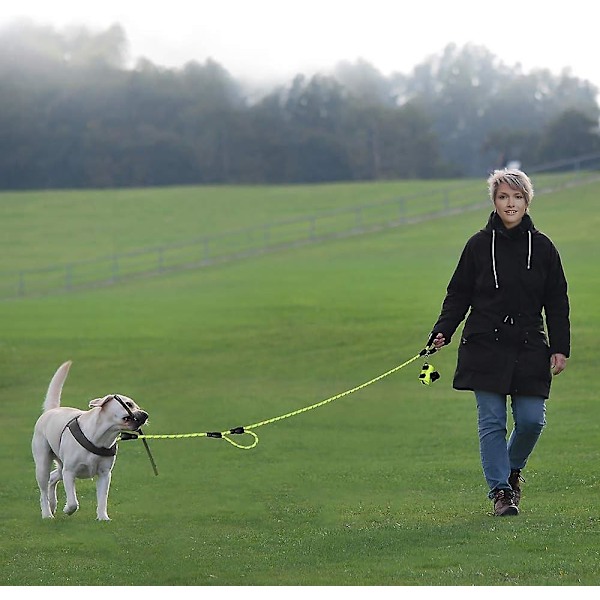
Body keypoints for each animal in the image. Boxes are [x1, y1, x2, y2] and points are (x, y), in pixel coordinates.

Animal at [31, 360, 149, 520]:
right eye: (129, 404)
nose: (146, 415)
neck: (101, 437)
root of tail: (51, 410)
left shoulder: (105, 474)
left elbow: (102, 499)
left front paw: (103, 518)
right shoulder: (69, 472)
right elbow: (73, 502)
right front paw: (67, 509)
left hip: (60, 466)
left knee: (52, 477)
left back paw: (53, 504)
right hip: (43, 463)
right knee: (44, 489)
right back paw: (47, 513)